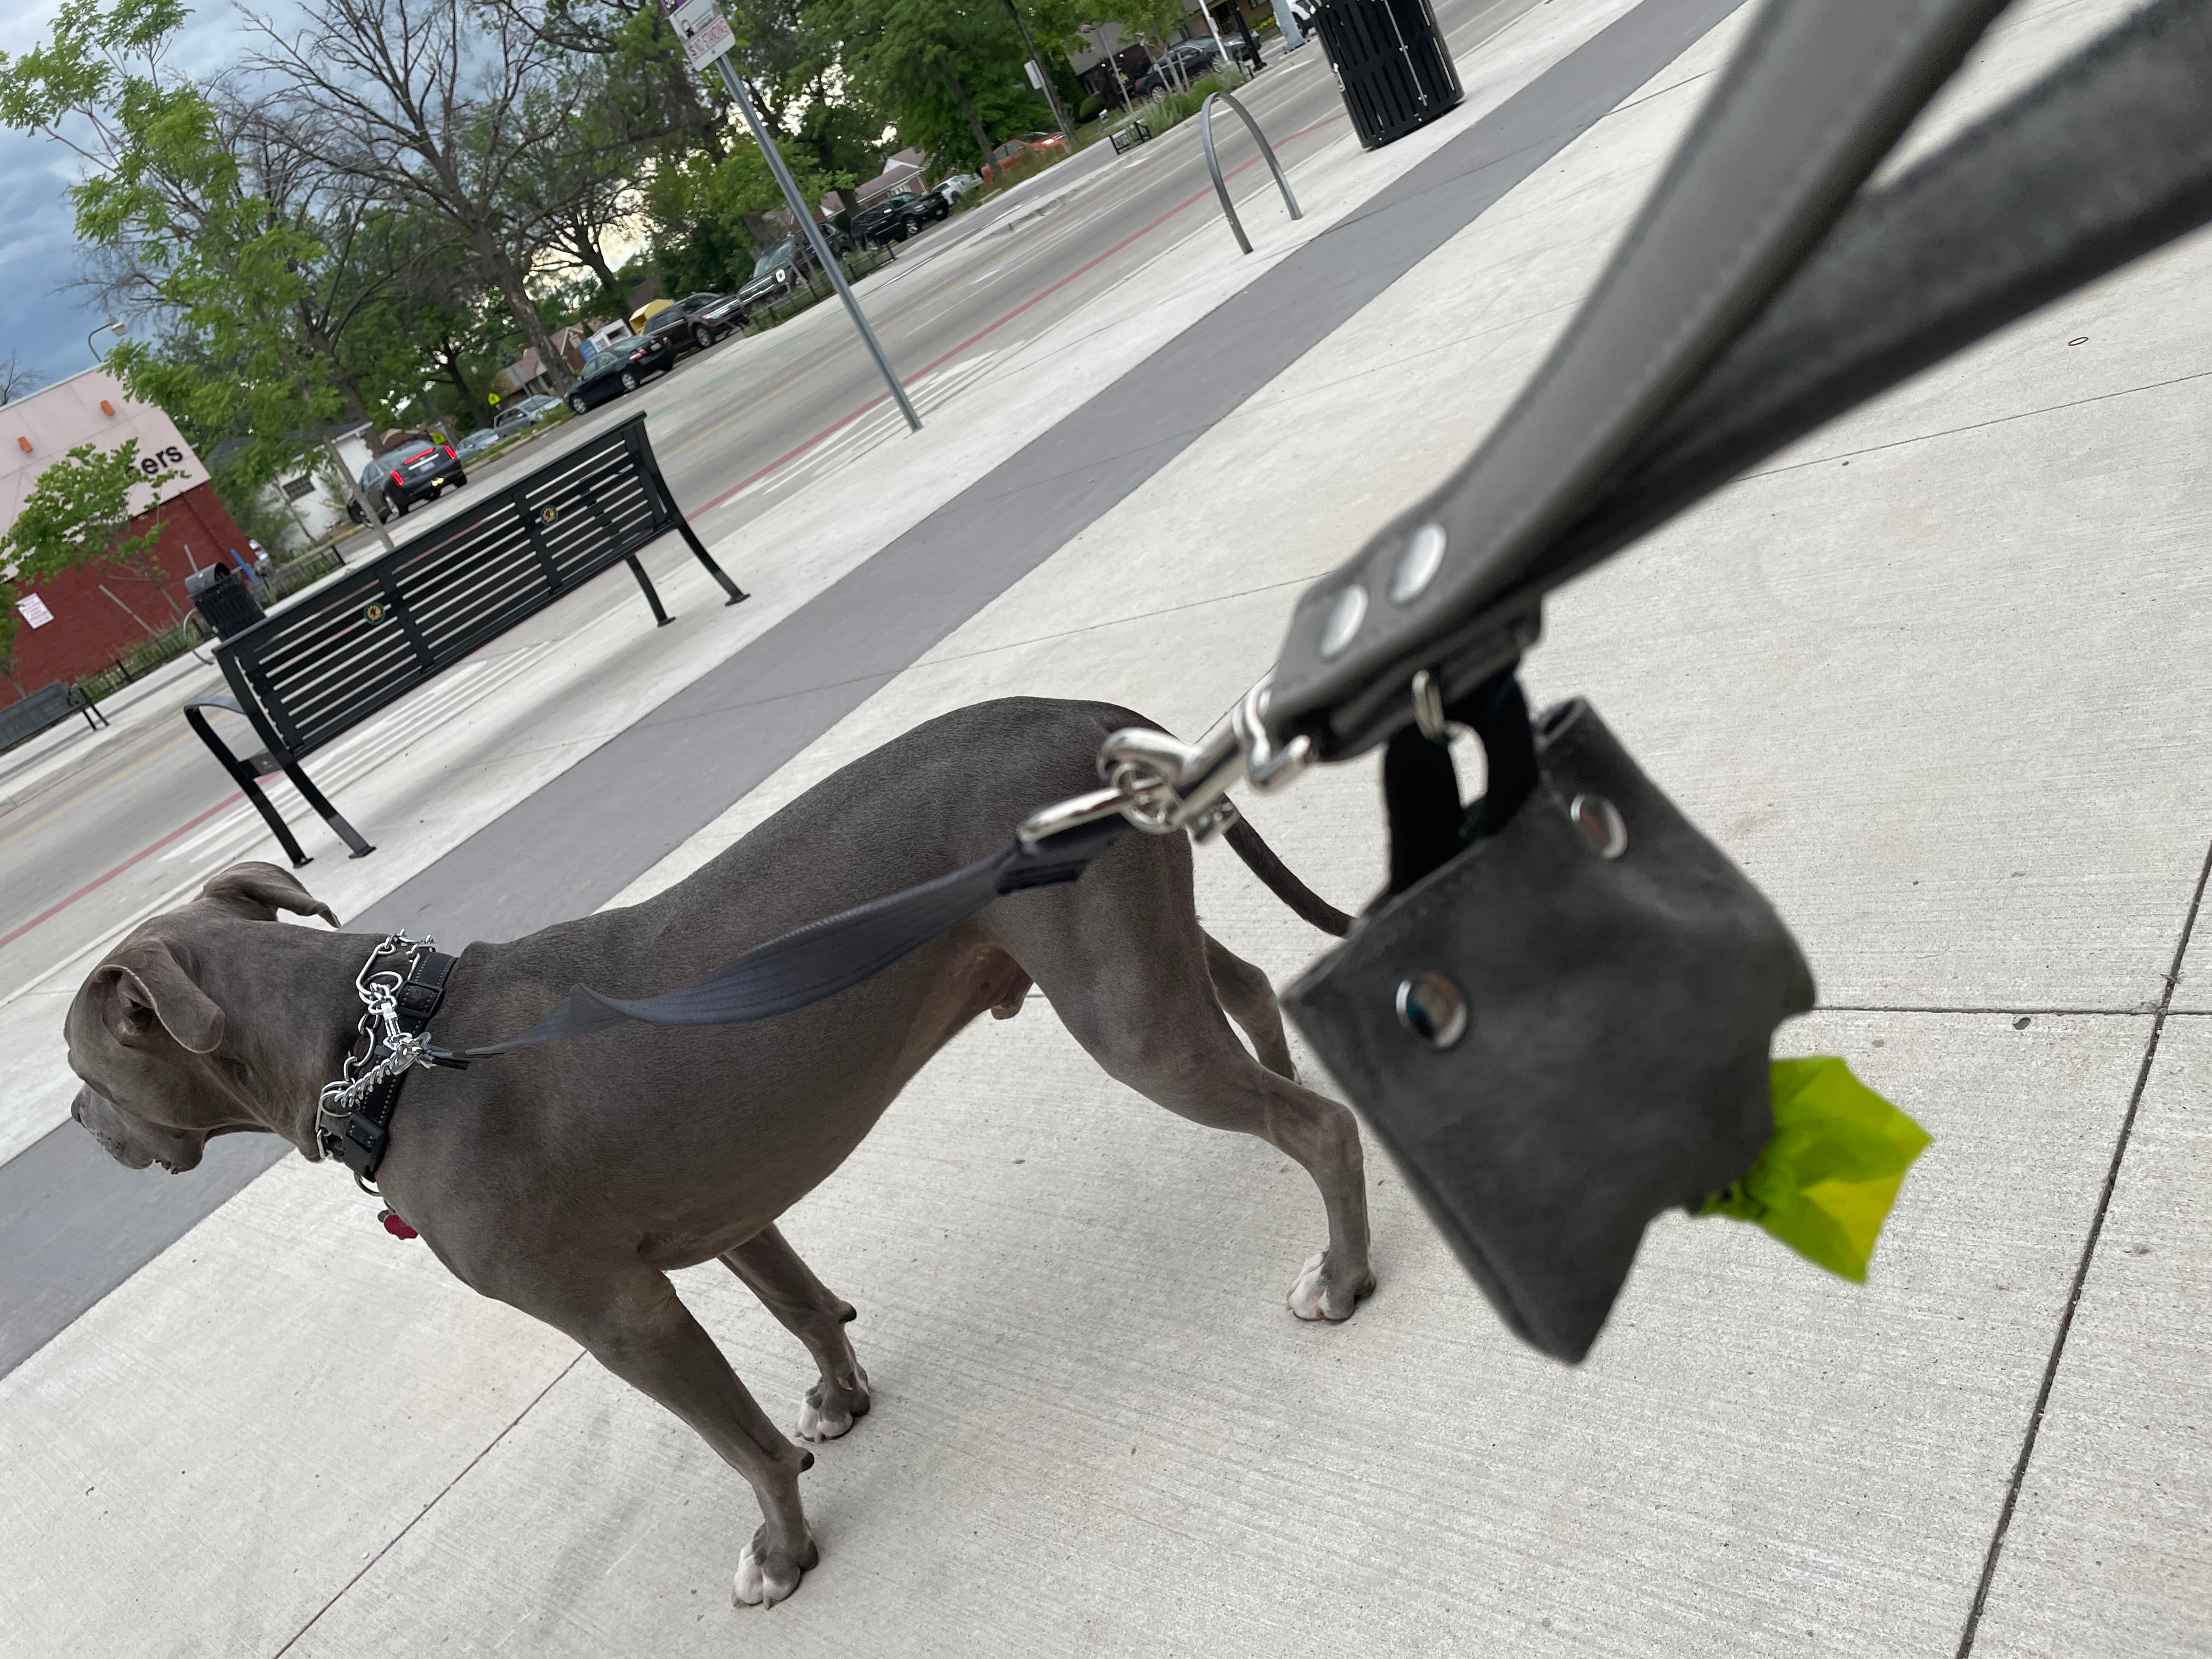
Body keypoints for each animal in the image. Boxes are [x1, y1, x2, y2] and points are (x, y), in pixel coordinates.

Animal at [64, 699, 1362, 1610]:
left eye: (82, 1065)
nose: (74, 1119)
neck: (381, 1042)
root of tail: (1081, 716)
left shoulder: (620, 1316)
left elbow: (740, 1445)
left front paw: (782, 1554)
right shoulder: (725, 1208)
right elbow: (801, 1306)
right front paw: (839, 1398)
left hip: (1124, 1017)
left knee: (1319, 1126)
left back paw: (1340, 1270)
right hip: (1138, 954)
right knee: (1253, 987)